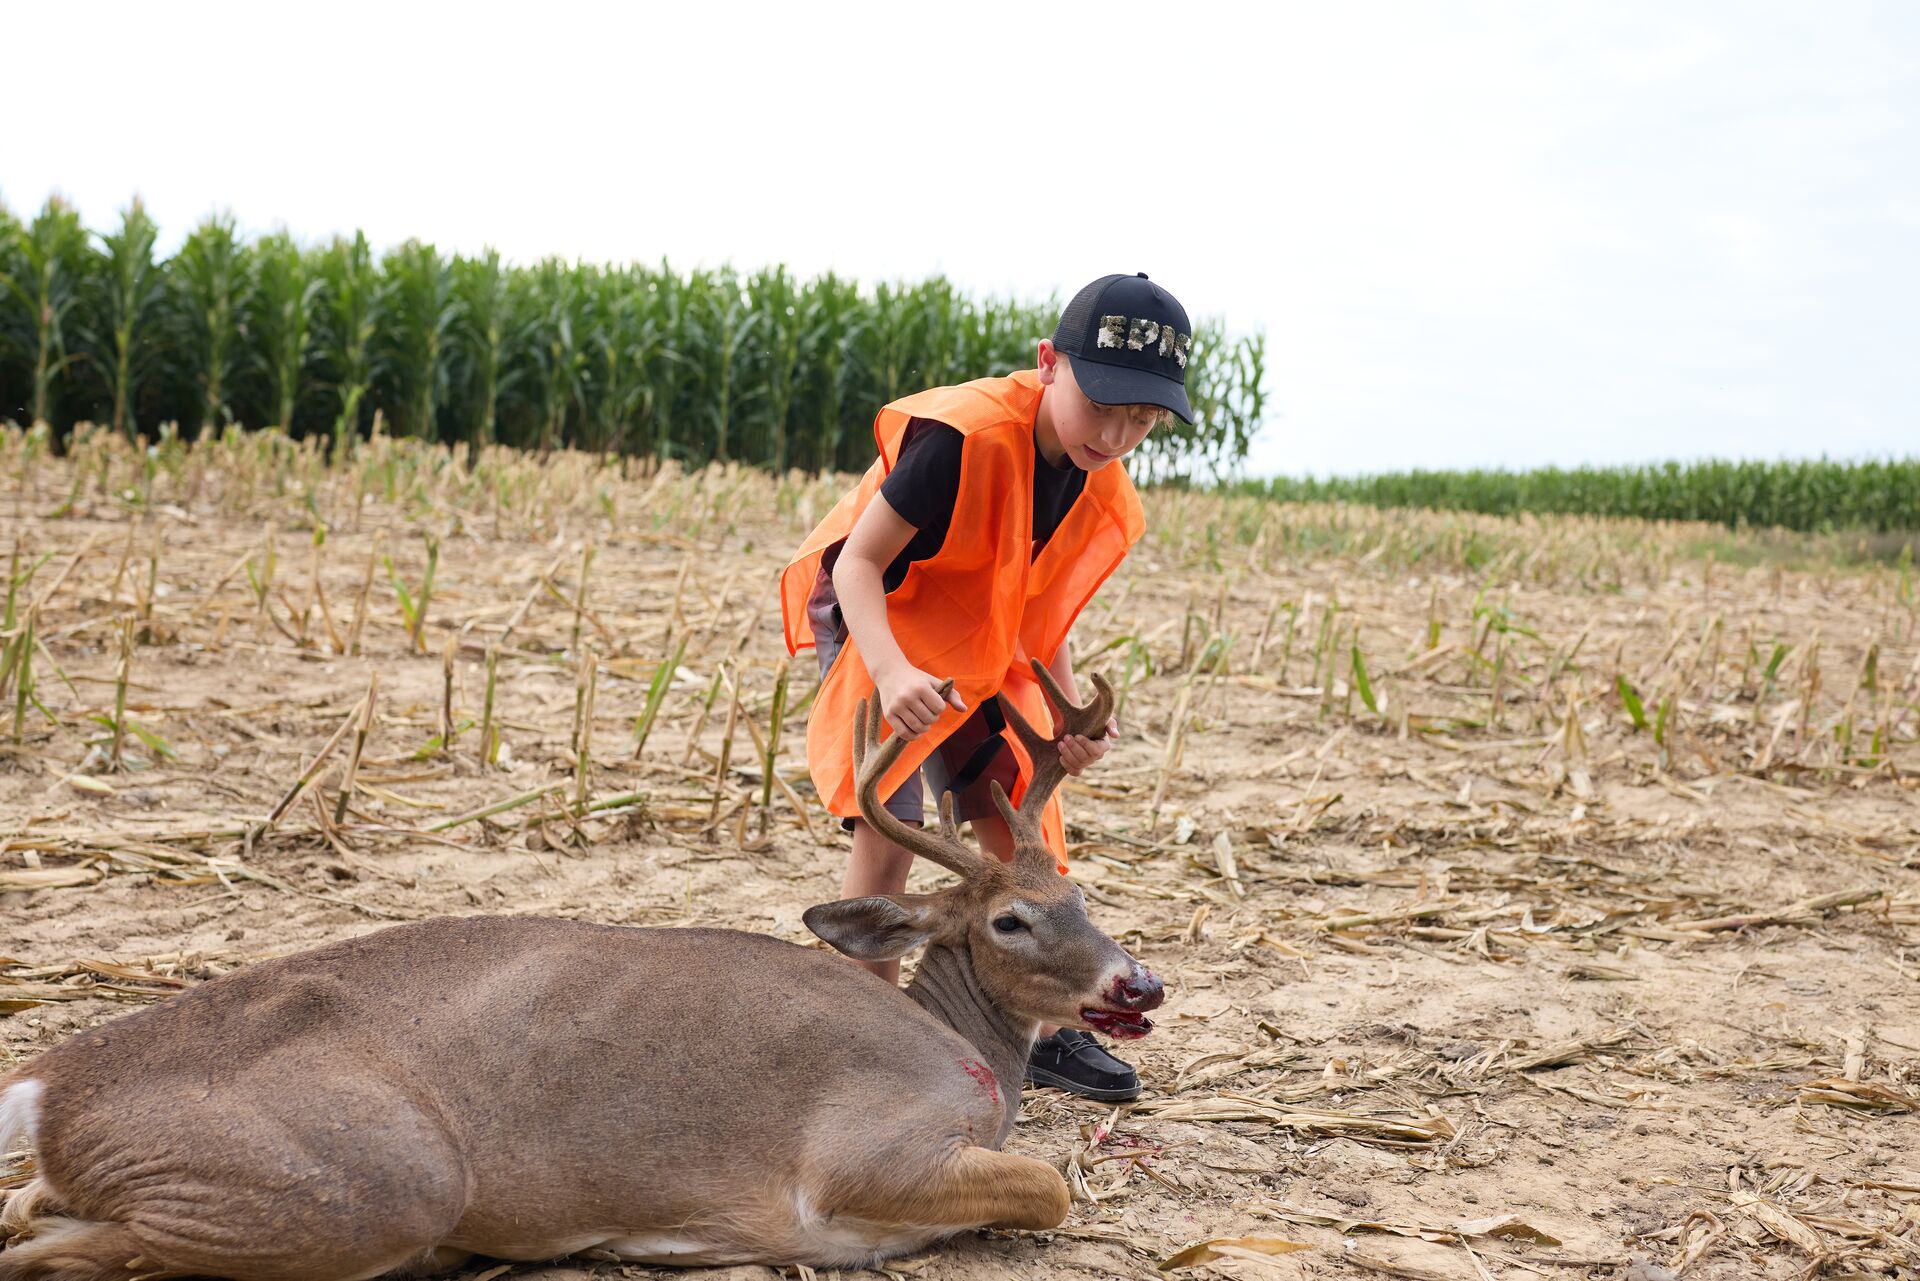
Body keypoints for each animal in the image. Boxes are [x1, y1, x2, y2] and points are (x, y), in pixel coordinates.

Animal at [0, 661, 1163, 1280]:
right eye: (1011, 919)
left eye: (1083, 890)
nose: (1138, 983)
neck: (965, 1058)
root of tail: (51, 1082)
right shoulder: (866, 1151)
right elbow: (1051, 1187)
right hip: (372, 1179)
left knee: (27, 1216)